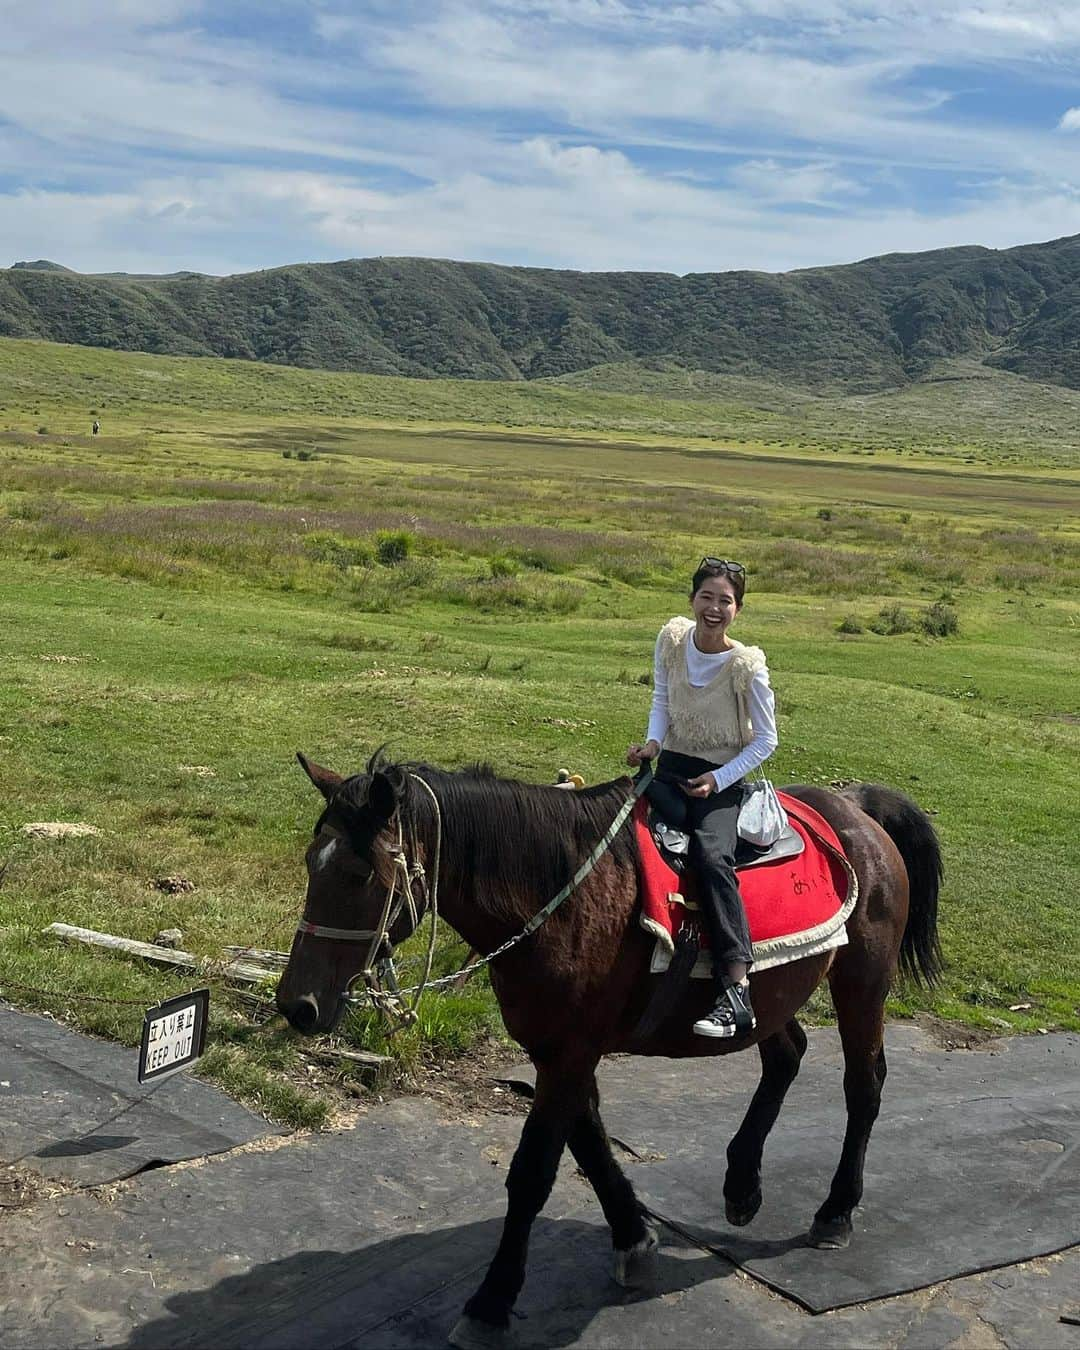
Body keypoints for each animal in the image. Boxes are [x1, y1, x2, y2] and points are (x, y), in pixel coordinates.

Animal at [276, 756, 934, 1344]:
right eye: (312, 863)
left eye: (361, 874)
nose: (296, 1004)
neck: (559, 896)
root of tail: (854, 808)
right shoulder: (561, 1052)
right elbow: (589, 1143)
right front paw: (633, 1238)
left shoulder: (569, 1054)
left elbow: (534, 1172)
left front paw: (492, 1301)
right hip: (773, 990)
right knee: (787, 1055)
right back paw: (742, 1186)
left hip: (862, 981)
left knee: (863, 1085)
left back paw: (835, 1210)